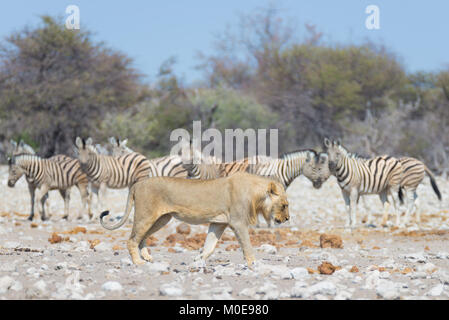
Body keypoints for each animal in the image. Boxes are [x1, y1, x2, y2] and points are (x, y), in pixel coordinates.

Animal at [99, 172, 288, 268]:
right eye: (285, 205)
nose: (287, 218)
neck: (256, 195)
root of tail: (137, 184)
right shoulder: (238, 222)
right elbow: (247, 245)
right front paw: (253, 263)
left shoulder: (218, 223)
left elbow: (210, 245)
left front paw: (198, 259)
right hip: (146, 215)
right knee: (132, 239)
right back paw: (138, 261)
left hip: (161, 219)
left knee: (142, 237)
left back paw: (146, 257)